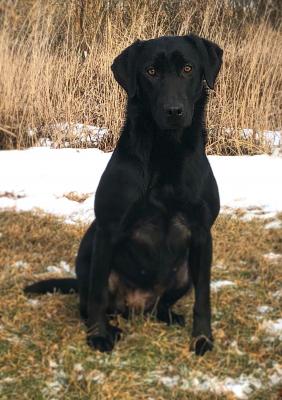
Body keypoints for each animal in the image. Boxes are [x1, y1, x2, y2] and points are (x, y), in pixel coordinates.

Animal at [24, 32, 223, 354]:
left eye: (188, 69)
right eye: (151, 71)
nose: (173, 111)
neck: (166, 152)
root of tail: (137, 306)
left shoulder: (202, 234)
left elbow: (203, 297)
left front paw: (202, 338)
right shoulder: (108, 228)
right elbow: (97, 297)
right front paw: (98, 336)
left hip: (184, 273)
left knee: (160, 306)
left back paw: (169, 316)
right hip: (89, 249)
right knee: (90, 301)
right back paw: (110, 326)